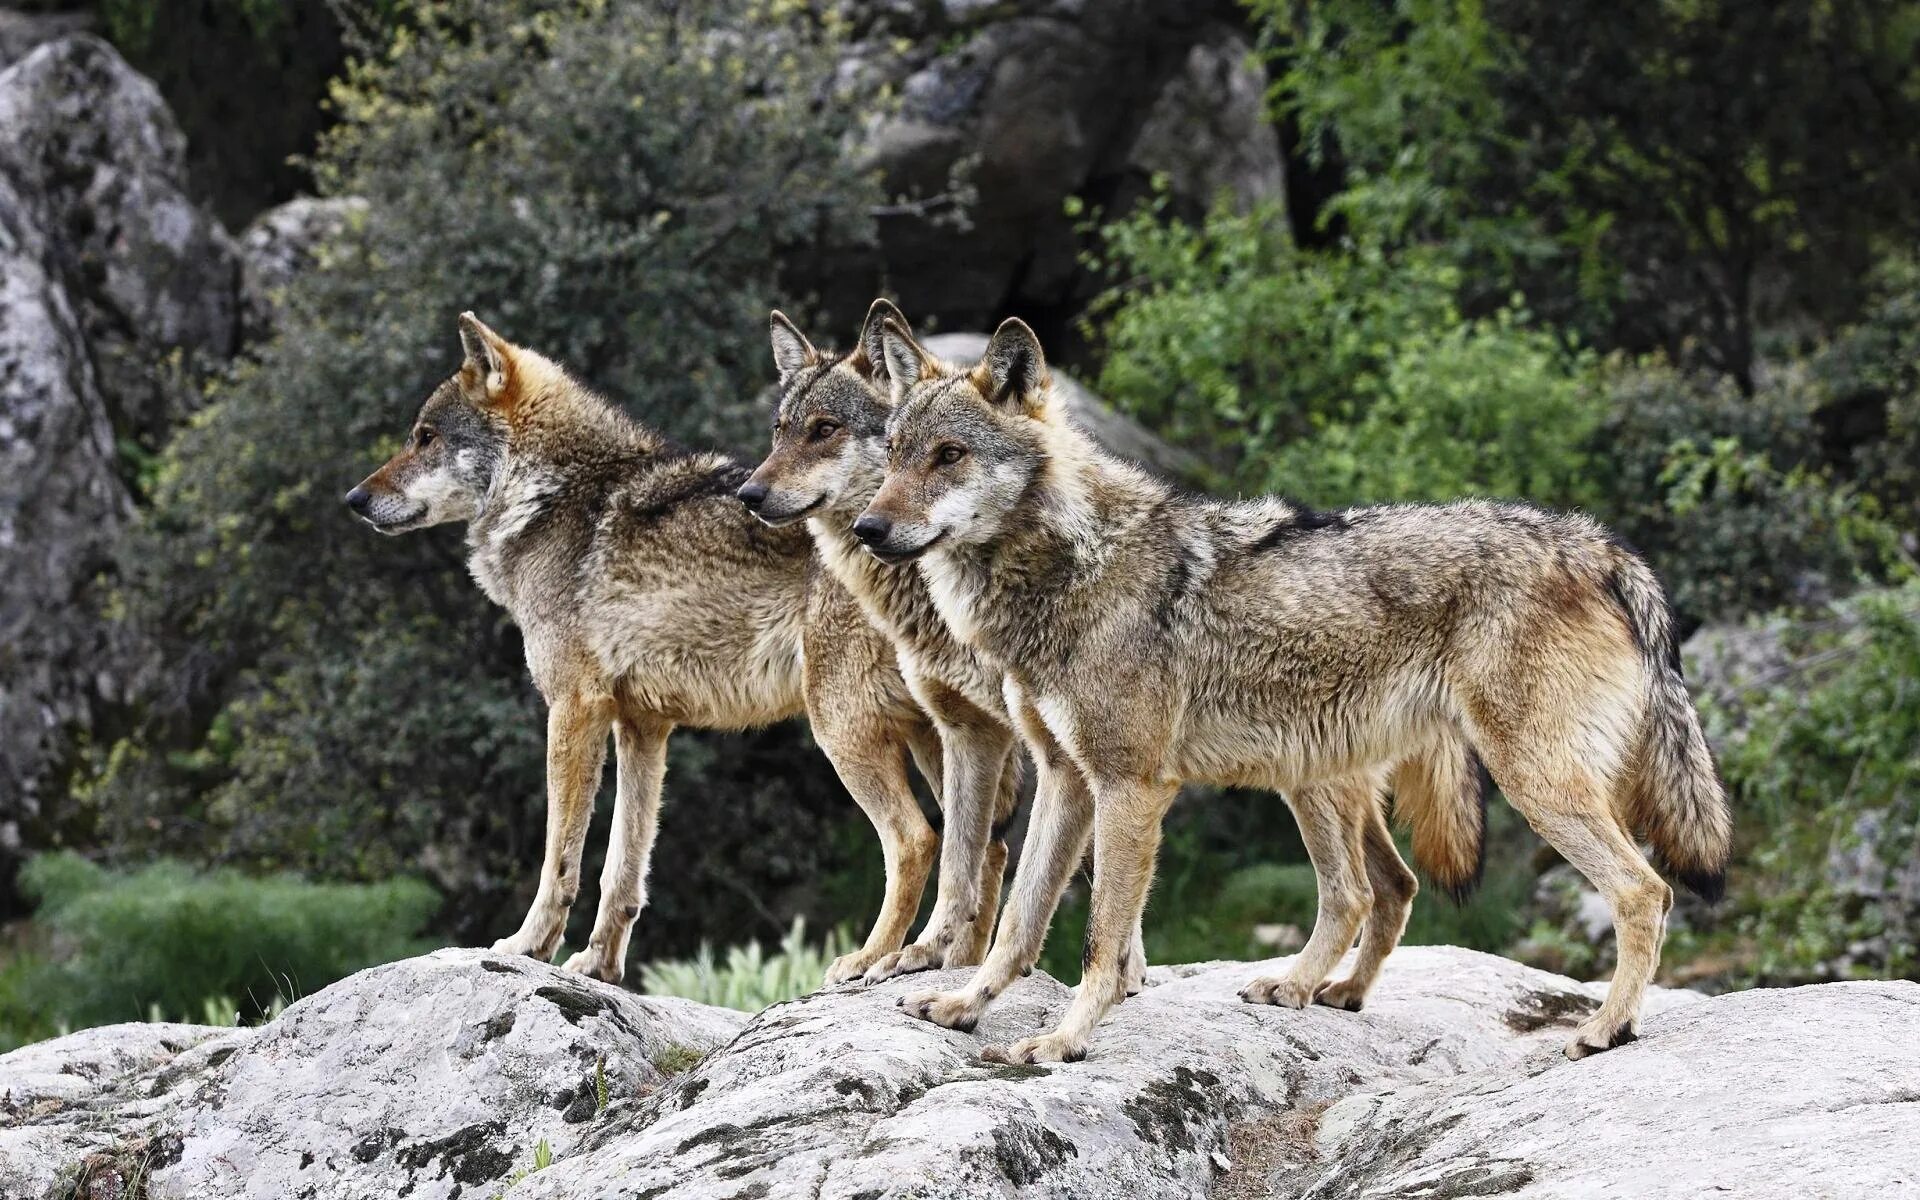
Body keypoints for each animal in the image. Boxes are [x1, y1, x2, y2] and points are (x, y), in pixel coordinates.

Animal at [856, 312, 1728, 1059]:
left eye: (948, 455)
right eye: (893, 452)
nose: (867, 528)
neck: (1072, 566)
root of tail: (1598, 543)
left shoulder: (1131, 787)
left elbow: (1102, 940)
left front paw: (1064, 1041)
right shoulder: (1067, 779)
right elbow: (1019, 920)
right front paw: (962, 1005)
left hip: (1526, 783)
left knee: (1643, 891)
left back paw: (1604, 1029)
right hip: (1316, 772)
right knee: (1368, 893)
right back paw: (1318, 989)